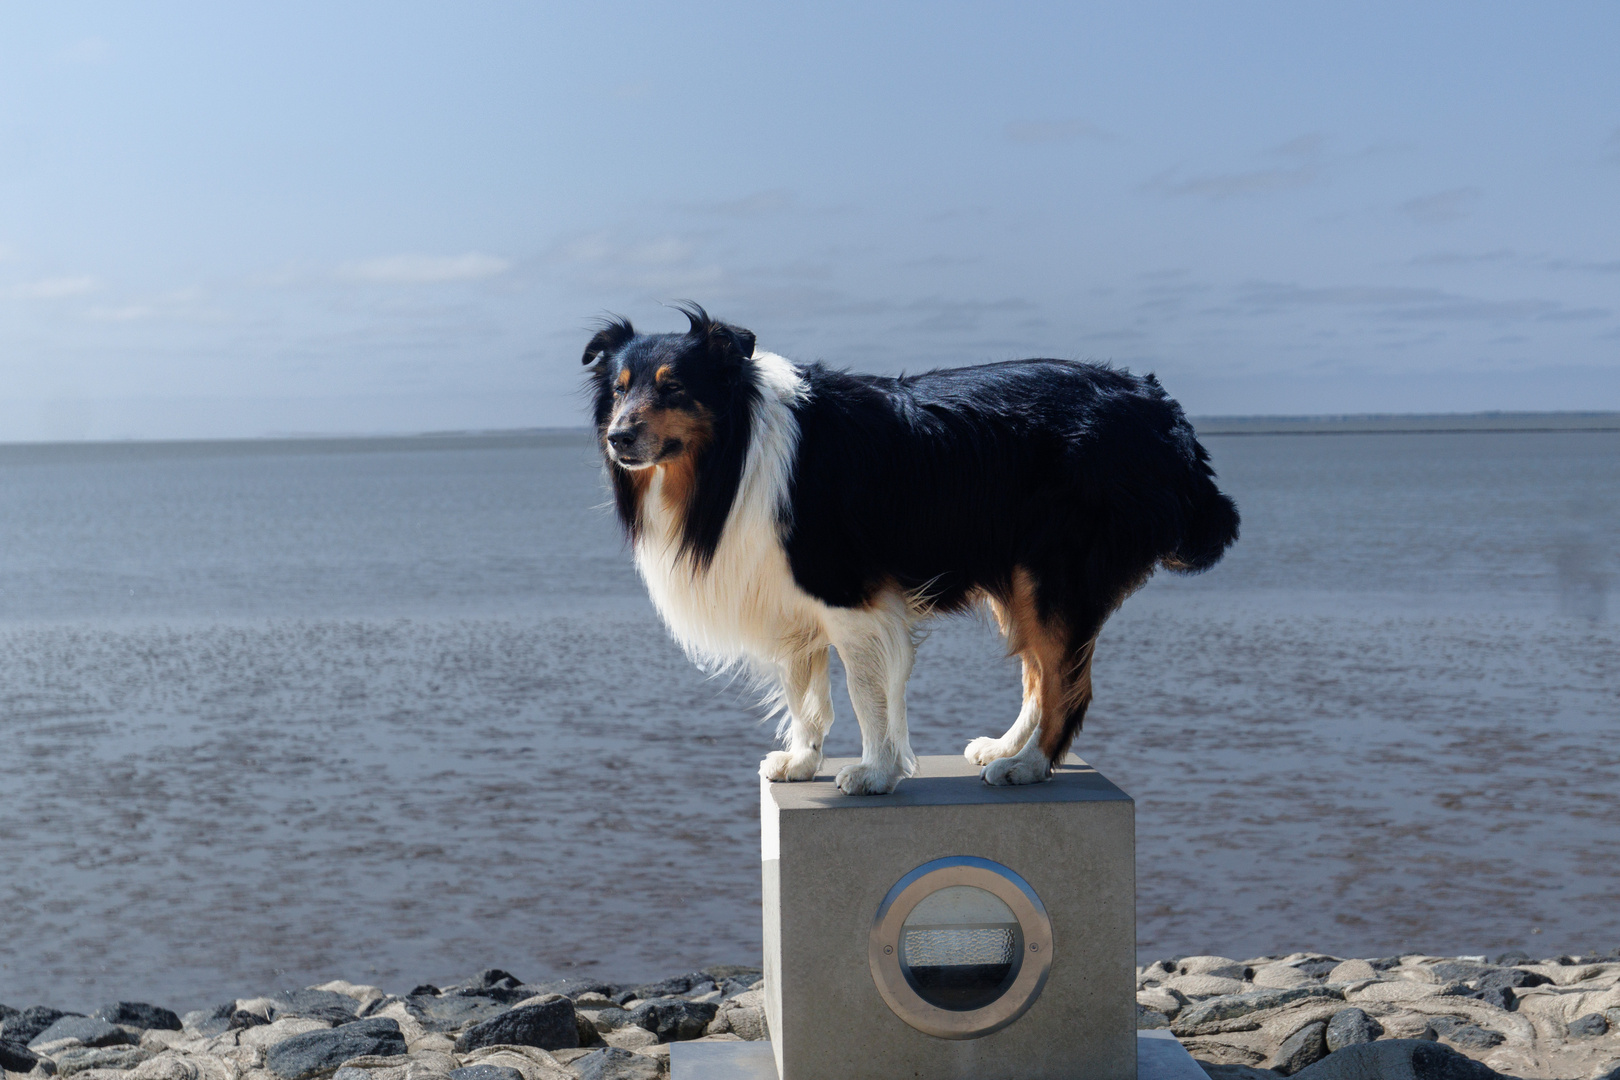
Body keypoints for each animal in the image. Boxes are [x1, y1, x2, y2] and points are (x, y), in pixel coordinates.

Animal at [583, 304, 1237, 793]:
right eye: (619, 390)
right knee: (1039, 673)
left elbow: (864, 692)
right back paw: (1004, 747)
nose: (618, 438)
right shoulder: (789, 595)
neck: (736, 452)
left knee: (1066, 683)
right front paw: (802, 760)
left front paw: (875, 772)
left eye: (673, 387)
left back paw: (1028, 766)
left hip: (1056, 574)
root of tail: (1158, 407)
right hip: (1022, 575)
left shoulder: (845, 592)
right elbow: (804, 692)